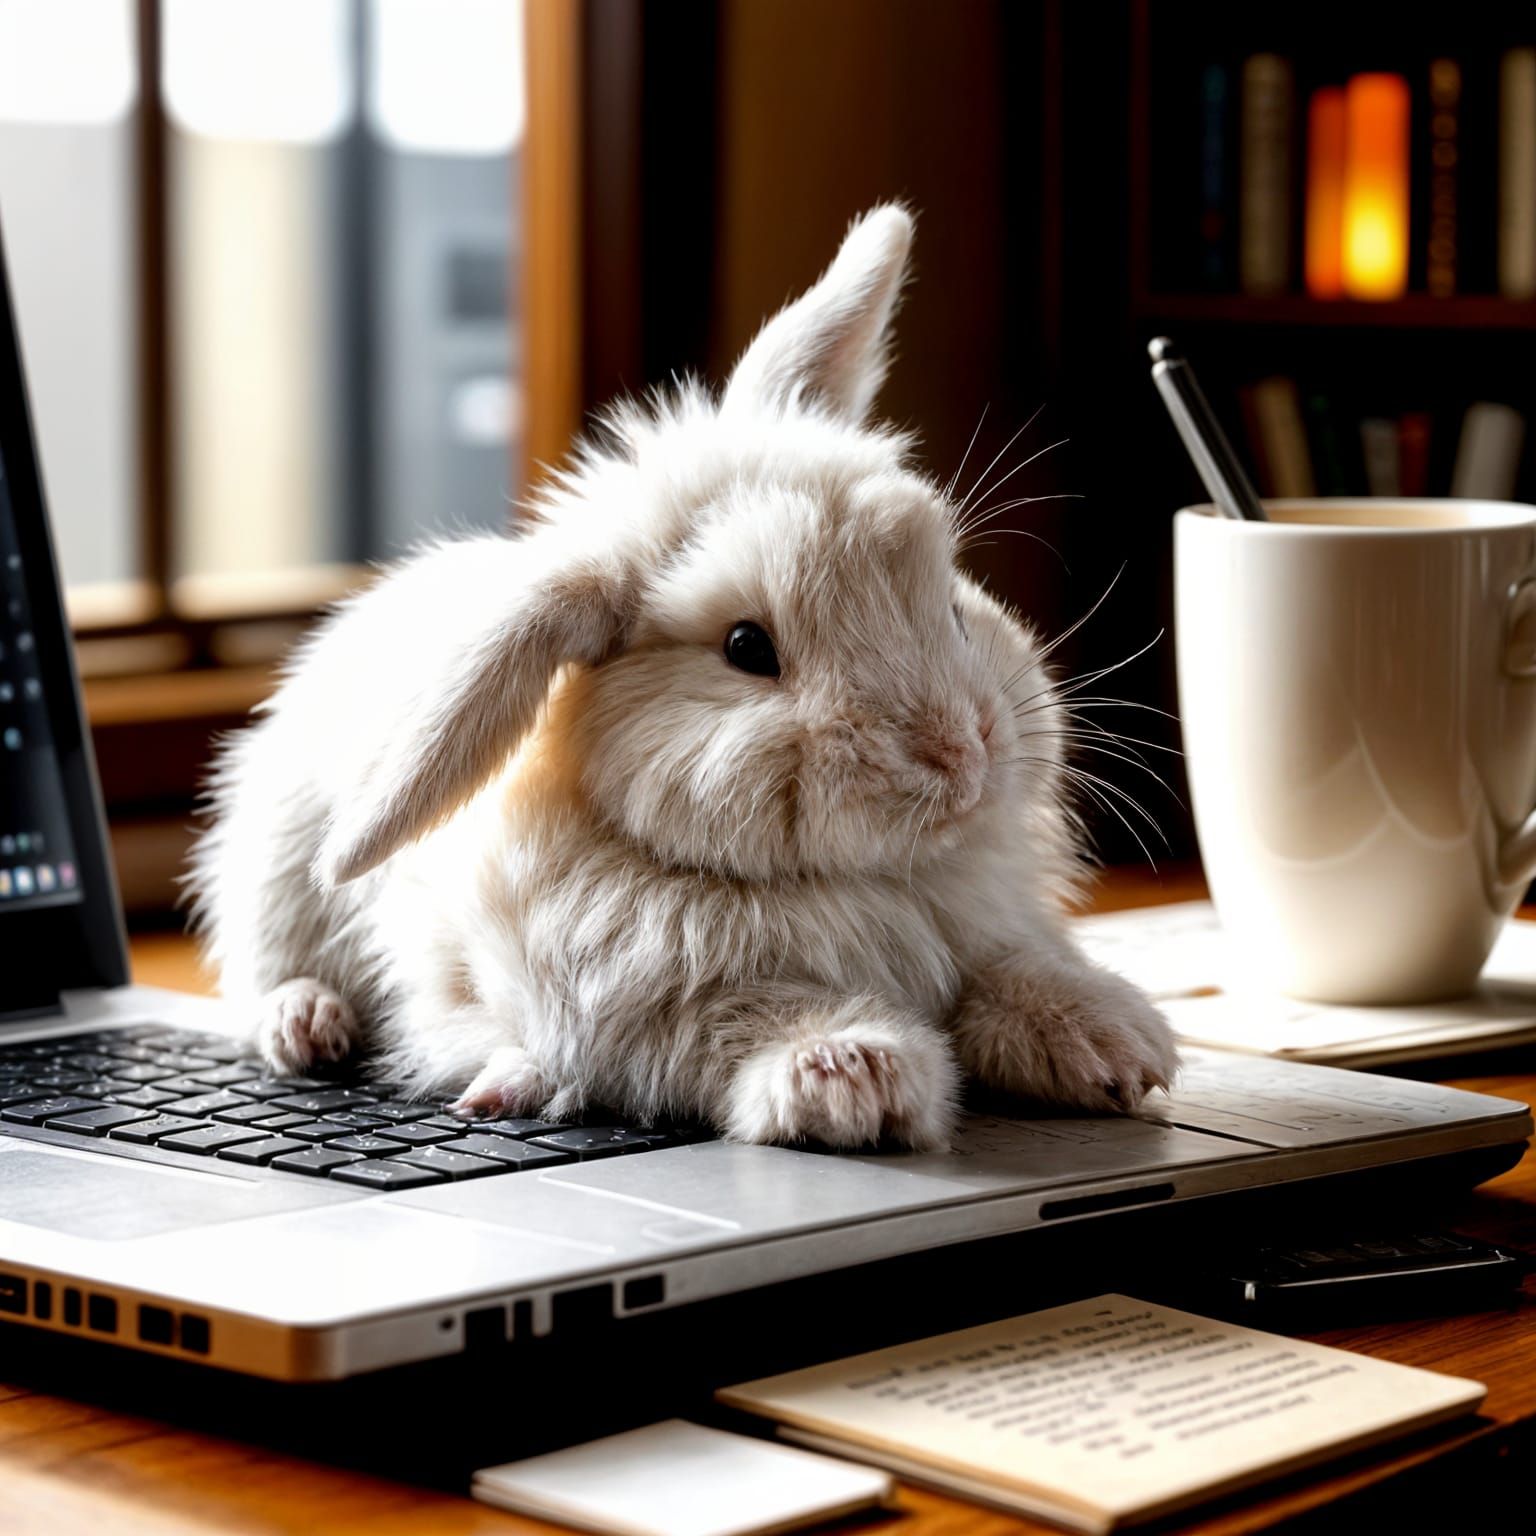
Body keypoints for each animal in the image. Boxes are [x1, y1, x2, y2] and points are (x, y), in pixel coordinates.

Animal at [187, 204, 1176, 1151]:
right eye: (747, 647)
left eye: (950, 594)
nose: (964, 754)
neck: (868, 885)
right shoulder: (647, 1016)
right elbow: (744, 1020)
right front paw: (853, 1077)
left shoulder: (984, 929)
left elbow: (1010, 971)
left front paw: (1114, 1044)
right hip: (274, 866)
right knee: (262, 977)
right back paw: (316, 1026)